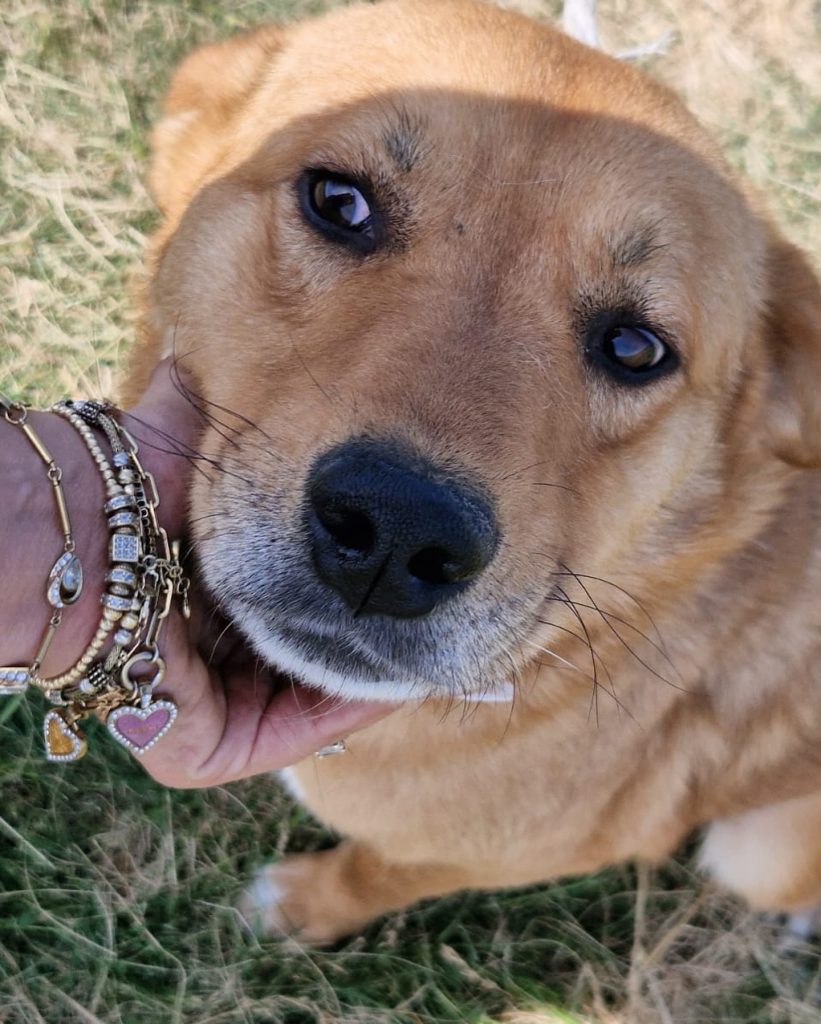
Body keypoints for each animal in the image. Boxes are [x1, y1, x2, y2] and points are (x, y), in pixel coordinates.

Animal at [127, 0, 818, 942]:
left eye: (636, 347)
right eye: (338, 201)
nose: (397, 533)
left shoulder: (529, 850)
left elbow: (381, 871)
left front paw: (304, 907)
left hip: (759, 853)